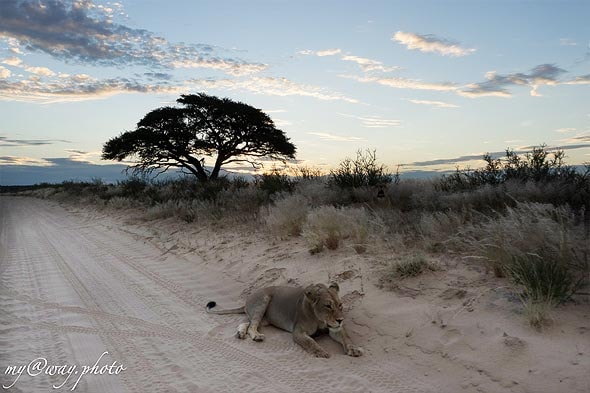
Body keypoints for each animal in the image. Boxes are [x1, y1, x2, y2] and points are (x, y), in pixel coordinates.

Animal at [208, 282, 366, 358]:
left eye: (340, 305)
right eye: (328, 306)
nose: (340, 320)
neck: (319, 319)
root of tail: (248, 298)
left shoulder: (335, 329)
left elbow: (346, 338)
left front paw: (354, 349)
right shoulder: (298, 332)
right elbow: (310, 342)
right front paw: (320, 352)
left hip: (265, 319)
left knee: (248, 322)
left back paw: (241, 333)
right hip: (263, 301)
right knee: (252, 325)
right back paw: (256, 336)